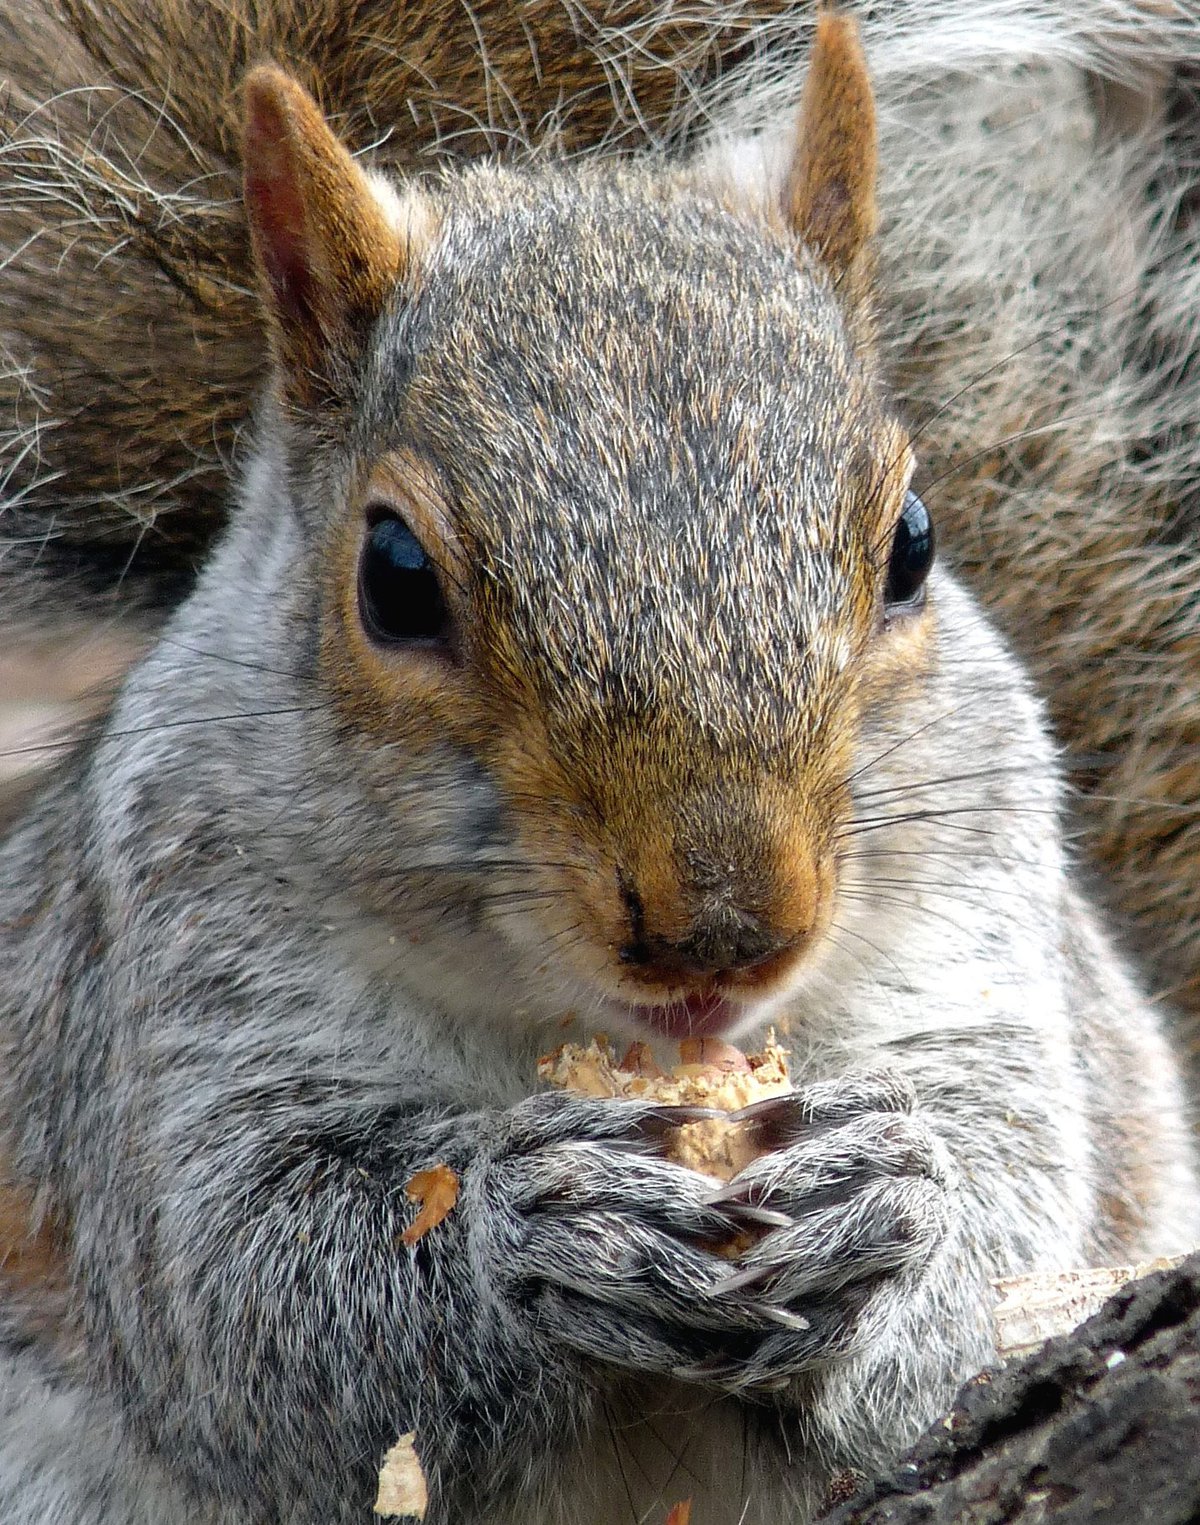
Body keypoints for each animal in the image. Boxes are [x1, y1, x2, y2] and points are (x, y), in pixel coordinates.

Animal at [2, 2, 1200, 1525]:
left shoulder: (982, 932)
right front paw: (533, 1229)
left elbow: (1012, 1208)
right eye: (393, 578)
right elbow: (253, 1295)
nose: (727, 932)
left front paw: (892, 1215)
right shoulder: (178, 965)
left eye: (914, 543)